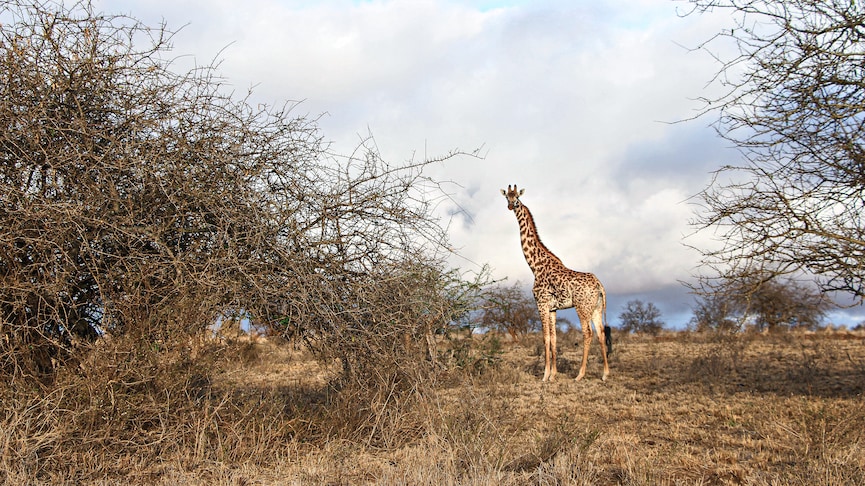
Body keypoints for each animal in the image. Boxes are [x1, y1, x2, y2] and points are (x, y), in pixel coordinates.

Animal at [500, 184, 608, 382]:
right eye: (507, 197)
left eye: (517, 197)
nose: (511, 206)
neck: (535, 265)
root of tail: (599, 286)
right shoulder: (552, 308)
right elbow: (554, 338)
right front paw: (553, 375)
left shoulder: (541, 304)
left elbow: (545, 338)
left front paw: (545, 376)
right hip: (596, 308)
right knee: (601, 333)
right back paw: (605, 374)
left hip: (582, 307)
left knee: (587, 333)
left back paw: (580, 375)